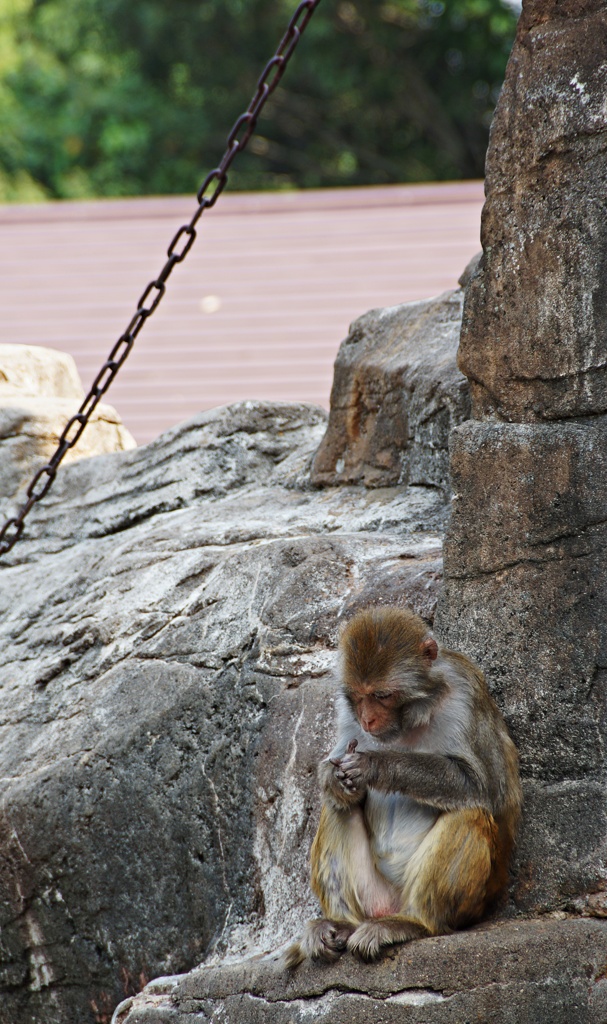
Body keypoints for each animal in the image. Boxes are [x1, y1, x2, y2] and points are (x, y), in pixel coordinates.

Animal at [284, 606, 519, 966]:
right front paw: (336, 781)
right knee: (338, 808)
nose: (367, 720)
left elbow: (482, 787)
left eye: (382, 695)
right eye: (358, 696)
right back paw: (339, 924)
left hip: (467, 903)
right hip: (372, 898)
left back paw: (415, 923)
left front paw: (374, 765)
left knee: (468, 812)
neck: (412, 718)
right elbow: (334, 772)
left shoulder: (466, 694)